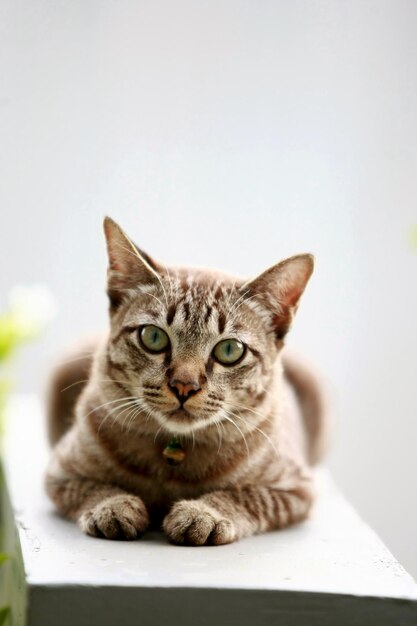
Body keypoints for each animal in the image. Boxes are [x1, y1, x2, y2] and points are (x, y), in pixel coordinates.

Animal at [44, 217, 324, 544]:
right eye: (153, 337)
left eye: (230, 350)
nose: (184, 386)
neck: (173, 458)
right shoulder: (60, 472)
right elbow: (91, 488)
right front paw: (112, 506)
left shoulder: (295, 487)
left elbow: (246, 496)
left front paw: (203, 513)